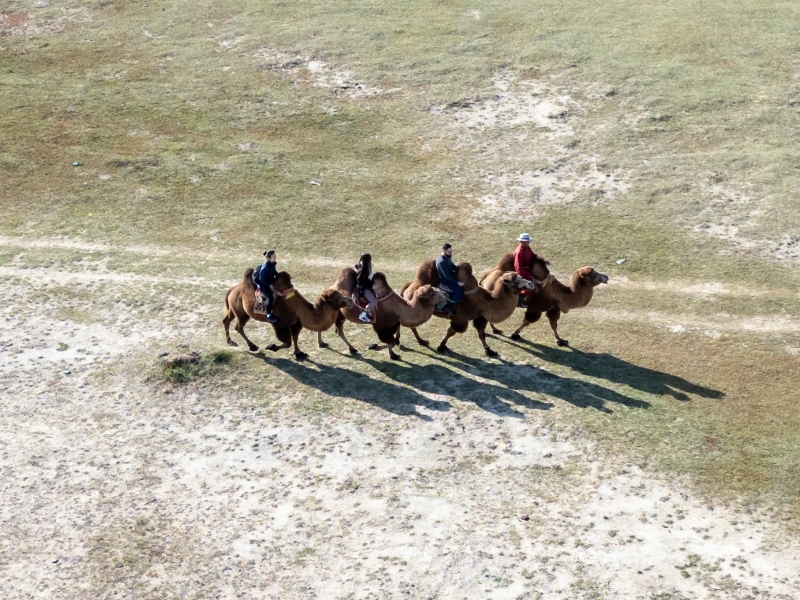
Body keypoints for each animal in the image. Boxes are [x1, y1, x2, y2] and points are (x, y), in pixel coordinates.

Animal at [223, 268, 352, 360]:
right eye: (335, 298)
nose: (350, 301)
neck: (299, 308)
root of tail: (232, 289)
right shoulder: (281, 325)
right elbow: (288, 342)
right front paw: (271, 347)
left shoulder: (296, 323)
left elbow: (295, 338)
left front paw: (299, 353)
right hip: (242, 313)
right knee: (238, 326)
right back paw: (252, 346)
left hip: (236, 309)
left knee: (226, 320)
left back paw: (230, 342)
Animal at [396, 262, 536, 356]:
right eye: (516, 281)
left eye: (520, 277)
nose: (531, 284)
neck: (486, 301)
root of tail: (409, 285)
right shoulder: (460, 319)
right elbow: (452, 331)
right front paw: (441, 347)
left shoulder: (480, 317)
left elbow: (481, 334)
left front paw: (489, 351)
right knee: (411, 324)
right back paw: (419, 341)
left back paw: (405, 341)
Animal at [482, 254, 612, 346]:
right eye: (593, 275)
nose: (606, 277)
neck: (556, 293)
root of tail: (489, 273)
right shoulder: (536, 308)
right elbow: (527, 321)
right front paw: (514, 334)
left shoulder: (554, 308)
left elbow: (554, 324)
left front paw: (560, 340)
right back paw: (494, 330)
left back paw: (495, 330)